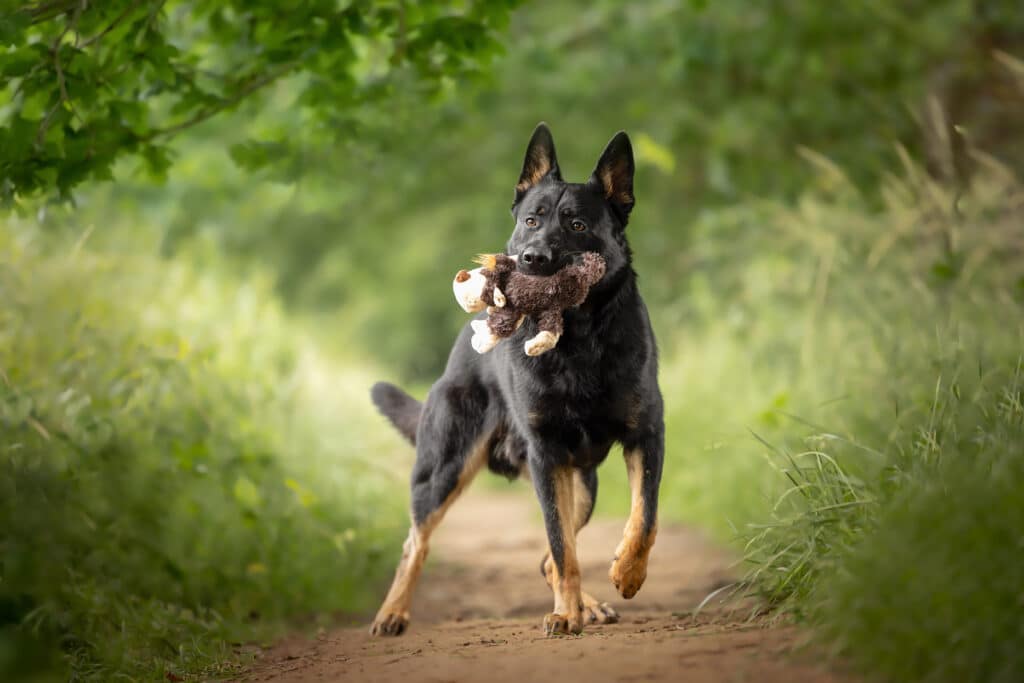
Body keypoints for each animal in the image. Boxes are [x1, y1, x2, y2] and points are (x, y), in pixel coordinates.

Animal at [368, 121, 663, 634]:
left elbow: (642, 519)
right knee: (416, 543)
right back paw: (393, 612)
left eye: (577, 225)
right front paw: (565, 615)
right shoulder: (548, 453)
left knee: (548, 556)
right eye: (531, 220)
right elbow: (563, 547)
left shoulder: (646, 435)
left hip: (581, 485)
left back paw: (588, 603)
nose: (531, 258)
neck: (577, 338)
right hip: (445, 469)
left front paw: (627, 573)